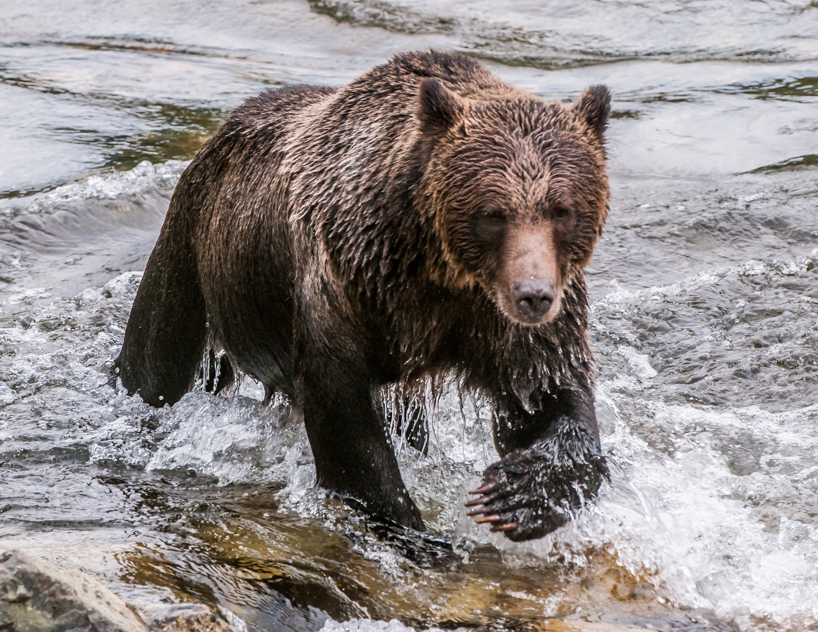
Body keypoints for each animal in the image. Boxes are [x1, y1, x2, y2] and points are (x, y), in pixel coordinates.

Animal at [114, 51, 611, 542]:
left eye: (562, 209)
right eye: (492, 213)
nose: (534, 295)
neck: (434, 271)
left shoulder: (502, 319)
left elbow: (546, 395)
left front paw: (518, 494)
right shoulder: (344, 282)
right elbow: (346, 419)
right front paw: (418, 531)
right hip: (192, 256)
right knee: (156, 359)